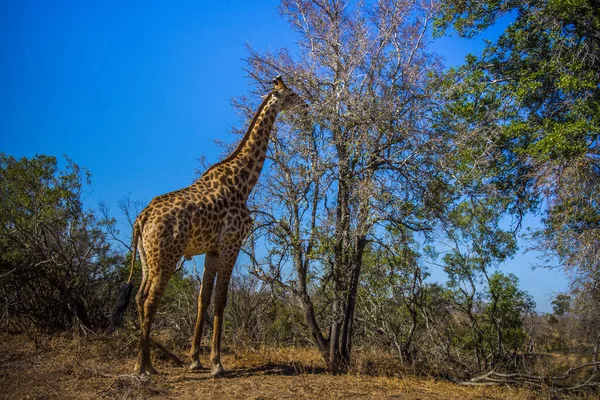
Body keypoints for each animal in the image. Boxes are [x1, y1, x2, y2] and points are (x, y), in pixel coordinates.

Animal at [114, 76, 304, 376]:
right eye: (293, 94)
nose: (306, 106)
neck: (243, 183)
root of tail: (141, 218)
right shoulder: (231, 243)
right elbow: (221, 299)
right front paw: (217, 364)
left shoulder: (212, 249)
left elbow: (203, 298)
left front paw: (195, 360)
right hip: (166, 257)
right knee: (149, 299)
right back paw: (143, 367)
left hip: (146, 257)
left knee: (139, 297)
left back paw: (144, 364)